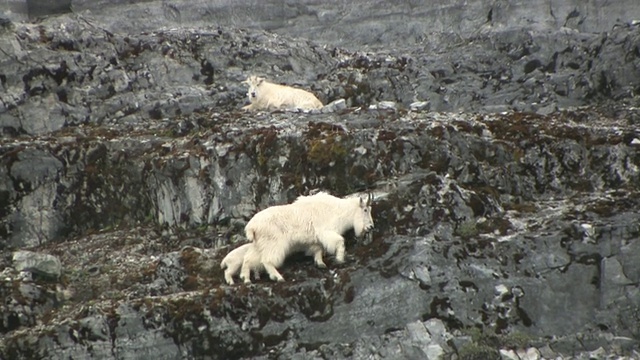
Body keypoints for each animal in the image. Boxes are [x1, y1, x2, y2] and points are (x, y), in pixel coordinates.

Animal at [240, 191, 376, 284]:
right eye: (365, 210)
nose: (371, 227)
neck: (338, 210)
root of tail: (251, 227)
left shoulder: (316, 240)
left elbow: (318, 250)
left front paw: (320, 263)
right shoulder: (326, 232)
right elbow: (340, 242)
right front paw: (340, 260)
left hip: (260, 244)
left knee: (248, 258)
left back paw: (246, 279)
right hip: (273, 243)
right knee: (267, 260)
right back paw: (278, 277)